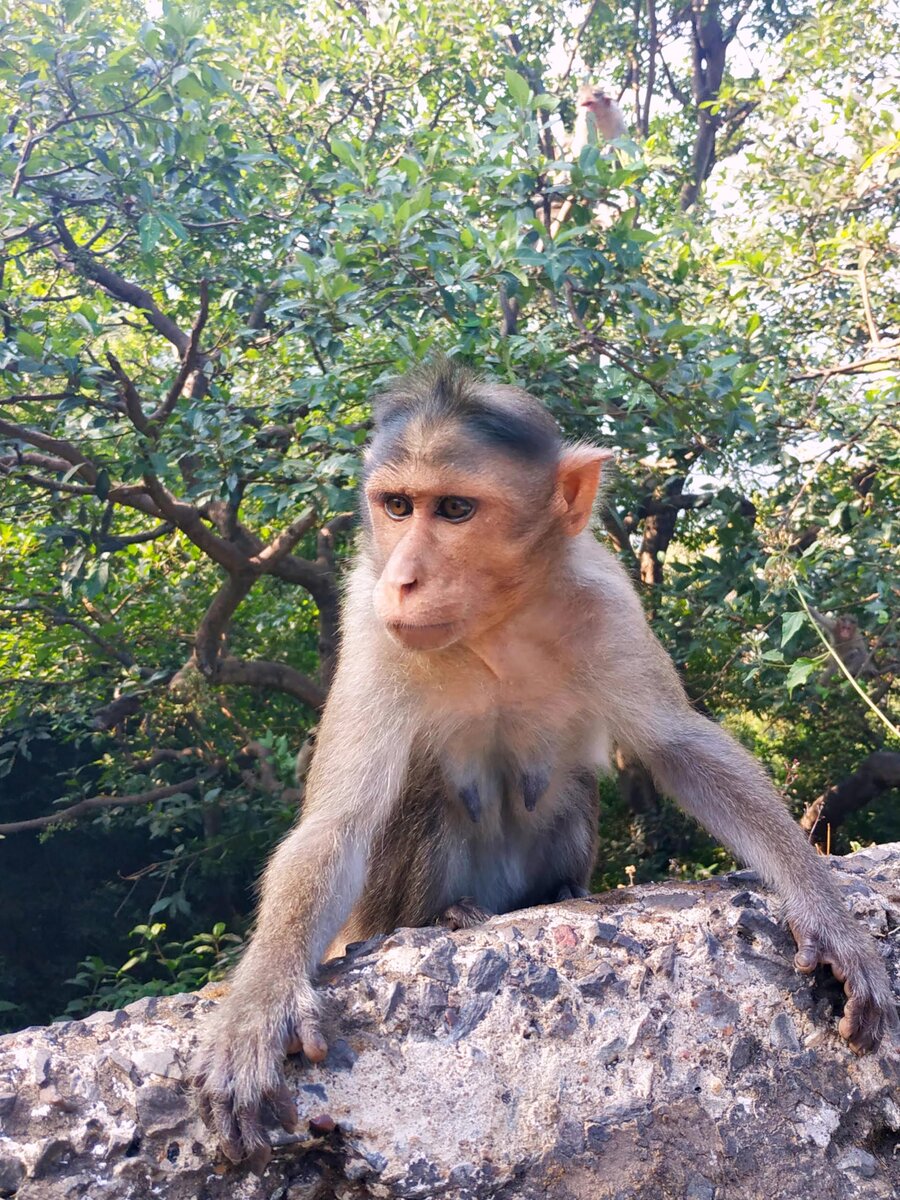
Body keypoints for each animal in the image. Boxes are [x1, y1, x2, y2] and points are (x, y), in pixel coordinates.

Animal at [194, 360, 897, 1166]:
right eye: (397, 506)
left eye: (455, 509)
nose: (403, 578)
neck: (496, 621)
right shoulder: (370, 621)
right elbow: (337, 825)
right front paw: (261, 1006)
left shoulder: (607, 599)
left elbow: (681, 747)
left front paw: (826, 911)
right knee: (424, 797)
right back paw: (447, 916)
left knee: (567, 787)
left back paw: (559, 892)